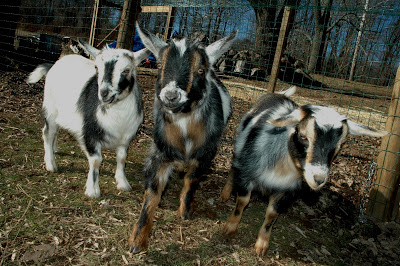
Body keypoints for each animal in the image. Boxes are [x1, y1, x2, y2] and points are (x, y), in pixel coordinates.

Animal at [26, 39, 150, 197]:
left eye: (126, 70)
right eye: (96, 67)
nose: (104, 93)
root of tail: (54, 65)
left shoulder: (125, 138)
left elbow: (122, 159)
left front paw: (123, 183)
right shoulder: (90, 134)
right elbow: (96, 160)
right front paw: (93, 190)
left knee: (56, 131)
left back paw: (55, 149)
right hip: (50, 108)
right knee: (48, 133)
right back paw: (51, 164)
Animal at [126, 23, 236, 252]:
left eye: (200, 70)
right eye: (160, 65)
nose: (170, 96)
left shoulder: (205, 154)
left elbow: (191, 181)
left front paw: (184, 212)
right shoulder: (160, 152)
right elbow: (152, 194)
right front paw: (137, 241)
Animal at [222, 87, 388, 256]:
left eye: (341, 145)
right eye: (302, 136)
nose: (318, 178)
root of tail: (279, 94)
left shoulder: (286, 190)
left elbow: (272, 214)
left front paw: (262, 244)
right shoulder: (247, 172)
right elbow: (242, 202)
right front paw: (230, 227)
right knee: (234, 167)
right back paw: (226, 192)